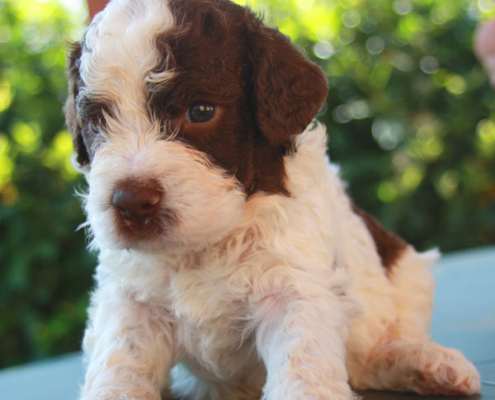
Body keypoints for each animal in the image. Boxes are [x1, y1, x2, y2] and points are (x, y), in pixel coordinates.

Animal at [65, 0, 480, 400]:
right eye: (97, 123)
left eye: (201, 111)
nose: (131, 202)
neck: (204, 246)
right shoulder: (131, 301)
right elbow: (119, 363)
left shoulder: (293, 288)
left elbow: (304, 366)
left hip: (408, 272)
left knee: (375, 352)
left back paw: (424, 362)